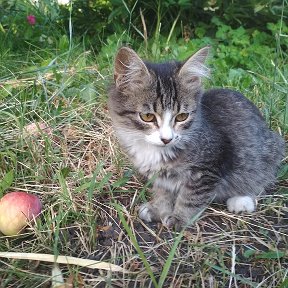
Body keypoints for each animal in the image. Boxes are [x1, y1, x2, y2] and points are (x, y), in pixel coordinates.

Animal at [108, 46, 286, 227]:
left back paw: (242, 200)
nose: (167, 139)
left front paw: (179, 218)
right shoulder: (159, 177)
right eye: (147, 117)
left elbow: (191, 197)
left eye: (182, 117)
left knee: (261, 179)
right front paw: (159, 209)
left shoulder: (208, 167)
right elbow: (163, 193)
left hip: (268, 151)